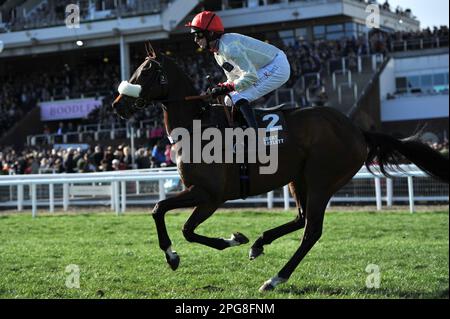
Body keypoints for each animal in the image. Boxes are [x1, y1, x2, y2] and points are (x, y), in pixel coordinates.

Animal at [110, 45, 448, 292]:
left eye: (146, 71)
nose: (117, 105)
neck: (196, 126)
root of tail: (357, 131)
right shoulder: (198, 192)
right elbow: (164, 213)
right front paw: (230, 241)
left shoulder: (210, 195)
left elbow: (178, 223)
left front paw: (189, 251)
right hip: (299, 178)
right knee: (301, 218)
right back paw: (260, 244)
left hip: (322, 179)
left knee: (311, 230)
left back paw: (275, 278)